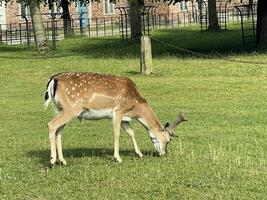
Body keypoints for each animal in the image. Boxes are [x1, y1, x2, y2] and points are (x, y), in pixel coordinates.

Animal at [45, 72, 187, 166]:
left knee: (59, 131)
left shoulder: (125, 118)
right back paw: (52, 160)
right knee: (51, 125)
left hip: (61, 109)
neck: (135, 106)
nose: (164, 153)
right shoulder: (118, 112)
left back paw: (62, 160)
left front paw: (139, 154)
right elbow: (117, 134)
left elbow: (131, 133)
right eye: (168, 140)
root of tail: (53, 80)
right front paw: (117, 158)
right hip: (71, 109)